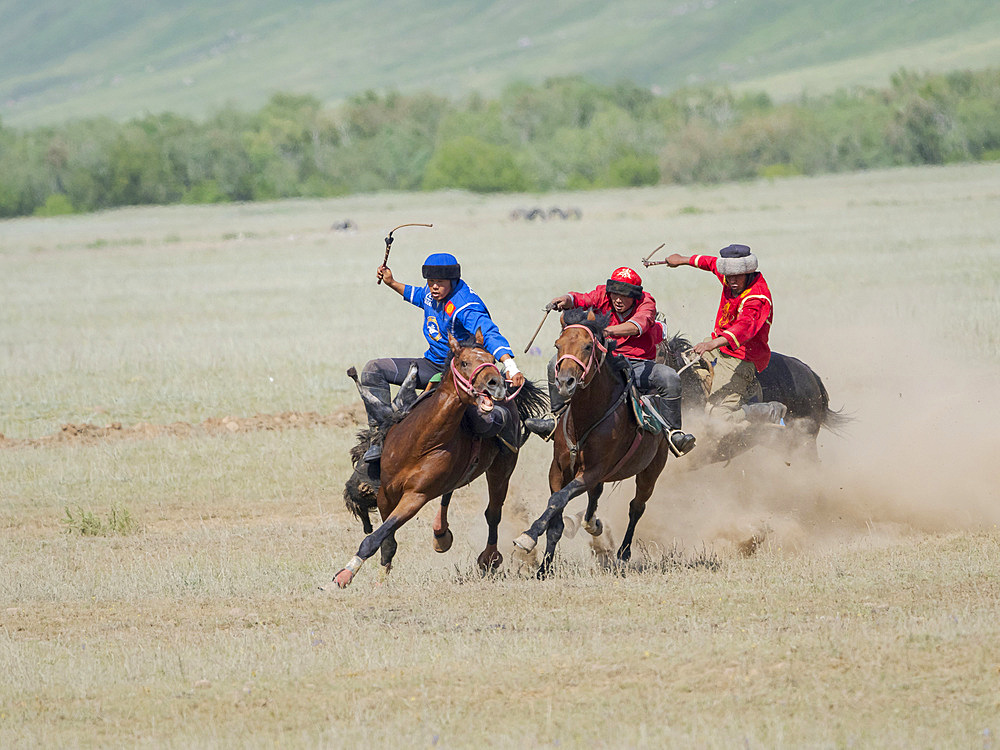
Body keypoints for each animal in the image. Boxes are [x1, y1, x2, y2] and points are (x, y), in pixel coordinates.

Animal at [326, 332, 548, 592]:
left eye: (492, 359)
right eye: (464, 362)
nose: (497, 384)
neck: (418, 441)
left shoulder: (415, 496)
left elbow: (375, 537)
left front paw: (343, 576)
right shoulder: (386, 494)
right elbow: (386, 539)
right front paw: (379, 576)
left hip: (501, 470)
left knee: (493, 513)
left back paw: (489, 557)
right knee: (449, 493)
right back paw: (441, 533)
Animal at [516, 308, 672, 580]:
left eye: (588, 346)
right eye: (557, 345)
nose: (565, 382)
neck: (584, 420)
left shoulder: (591, 471)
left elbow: (558, 500)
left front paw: (528, 536)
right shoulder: (559, 469)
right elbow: (555, 516)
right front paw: (544, 568)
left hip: (650, 471)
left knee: (637, 507)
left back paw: (623, 553)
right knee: (596, 499)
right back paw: (593, 524)